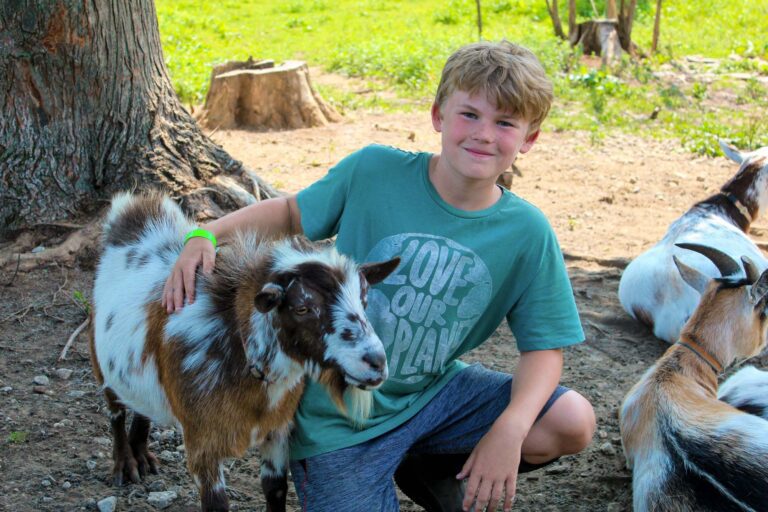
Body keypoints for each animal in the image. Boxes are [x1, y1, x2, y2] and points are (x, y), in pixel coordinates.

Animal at [89, 192, 400, 512]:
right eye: (302, 308)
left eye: (364, 299)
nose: (376, 362)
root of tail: (135, 210)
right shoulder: (202, 446)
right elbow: (216, 504)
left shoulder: (278, 432)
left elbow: (275, 490)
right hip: (100, 363)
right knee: (115, 411)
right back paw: (125, 465)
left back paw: (142, 457)